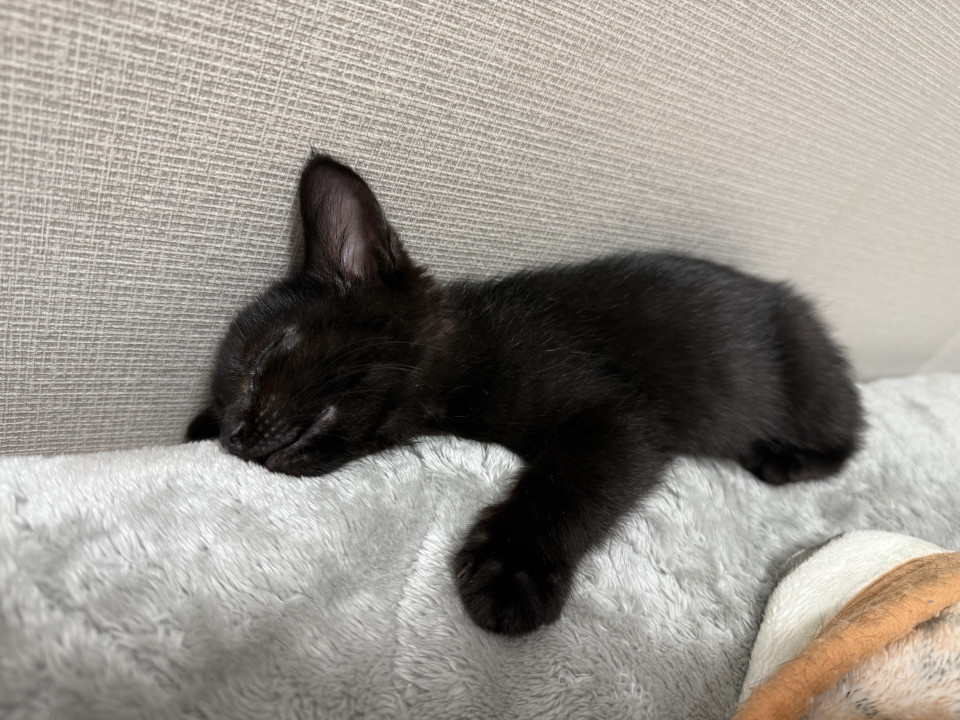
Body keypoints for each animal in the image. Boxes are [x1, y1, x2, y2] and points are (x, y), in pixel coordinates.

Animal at [188, 154, 864, 634]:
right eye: (222, 406)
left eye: (265, 359)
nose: (235, 434)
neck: (461, 360)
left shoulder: (618, 415)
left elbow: (566, 481)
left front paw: (512, 569)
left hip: (807, 377)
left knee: (851, 435)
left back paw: (783, 458)